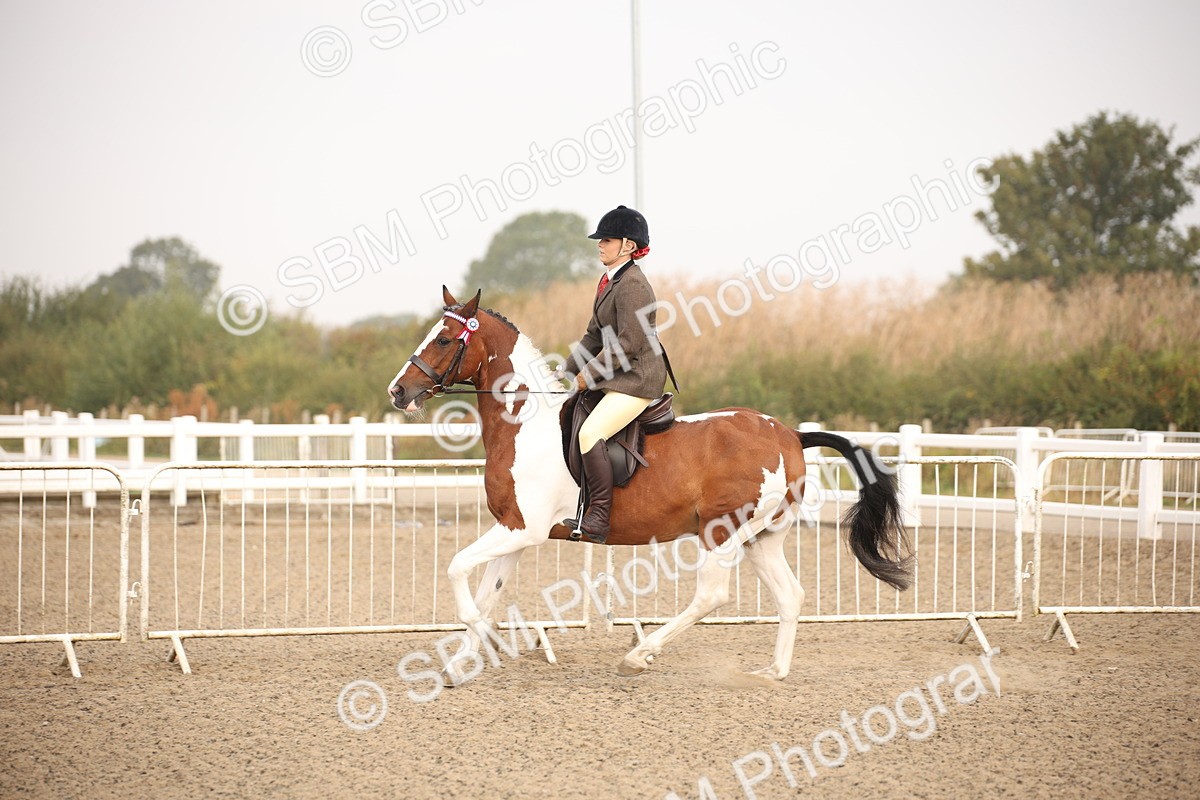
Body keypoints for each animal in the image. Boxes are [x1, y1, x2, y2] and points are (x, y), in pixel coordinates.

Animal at [388, 287, 913, 682]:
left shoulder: (523, 529)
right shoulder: (515, 532)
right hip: (762, 536)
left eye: (444, 339)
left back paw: (639, 656)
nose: (398, 391)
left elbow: (458, 571)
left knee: (712, 596)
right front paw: (460, 664)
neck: (523, 423)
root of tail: (788, 434)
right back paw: (774, 672)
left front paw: (490, 645)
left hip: (722, 531)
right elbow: (486, 594)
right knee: (790, 595)